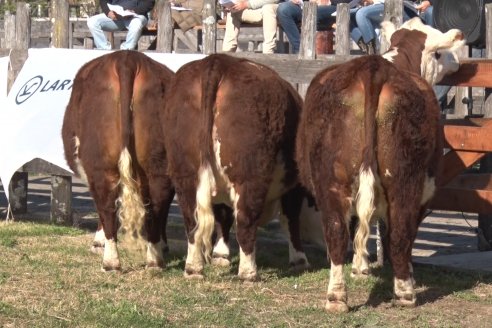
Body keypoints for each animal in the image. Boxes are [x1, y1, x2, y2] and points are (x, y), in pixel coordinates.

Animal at [62, 51, 175, 270]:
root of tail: (128, 59)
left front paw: (98, 243)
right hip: (159, 162)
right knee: (158, 202)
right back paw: (154, 259)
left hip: (101, 163)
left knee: (106, 203)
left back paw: (111, 261)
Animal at [161, 53, 308, 280]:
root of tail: (218, 61)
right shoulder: (294, 186)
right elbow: (291, 220)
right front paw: (299, 259)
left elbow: (223, 216)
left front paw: (221, 254)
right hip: (250, 177)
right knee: (246, 221)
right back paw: (249, 272)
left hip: (184, 175)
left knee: (193, 221)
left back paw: (193, 268)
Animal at [296, 16, 466, 312]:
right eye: (438, 53)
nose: (456, 60)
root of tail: (373, 69)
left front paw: (360, 267)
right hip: (405, 181)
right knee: (399, 233)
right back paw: (405, 292)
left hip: (331, 180)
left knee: (337, 231)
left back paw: (336, 297)